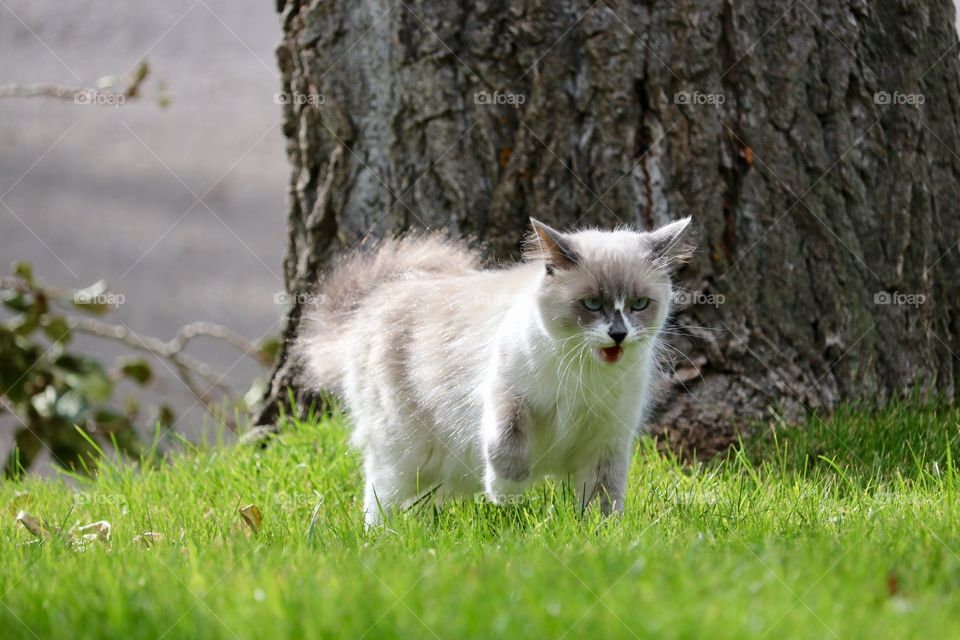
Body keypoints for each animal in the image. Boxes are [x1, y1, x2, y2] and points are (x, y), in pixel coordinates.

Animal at [296, 218, 692, 524]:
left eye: (639, 304)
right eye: (592, 304)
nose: (618, 334)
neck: (584, 375)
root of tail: (382, 295)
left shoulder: (608, 439)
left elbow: (603, 500)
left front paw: (600, 534)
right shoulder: (508, 397)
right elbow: (507, 448)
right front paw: (507, 495)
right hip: (402, 454)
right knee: (380, 502)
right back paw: (383, 541)